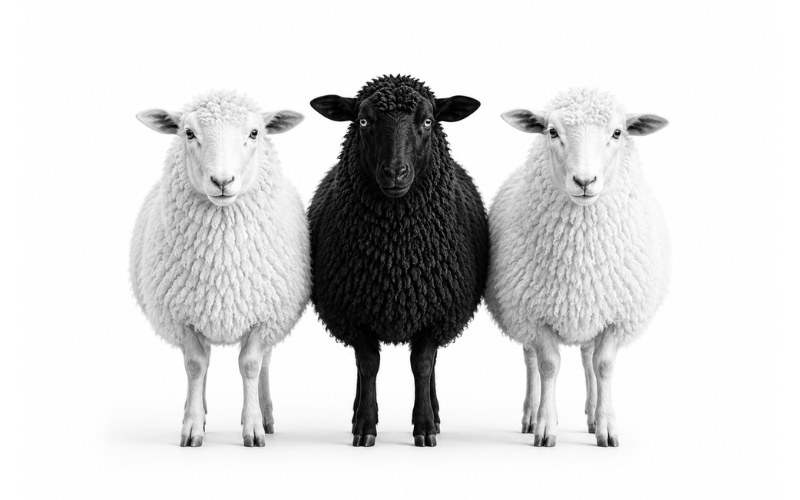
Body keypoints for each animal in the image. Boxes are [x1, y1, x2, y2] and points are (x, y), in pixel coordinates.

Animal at [130, 90, 310, 447]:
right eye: (188, 133)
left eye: (255, 133)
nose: (222, 180)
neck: (223, 263)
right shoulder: (183, 317)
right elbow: (195, 365)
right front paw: (192, 427)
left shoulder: (264, 315)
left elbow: (251, 365)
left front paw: (253, 428)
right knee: (206, 362)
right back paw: (198, 409)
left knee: (265, 362)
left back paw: (266, 416)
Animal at [308, 75, 488, 447]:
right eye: (363, 121)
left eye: (429, 121)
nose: (395, 172)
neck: (396, 256)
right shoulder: (355, 314)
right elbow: (368, 365)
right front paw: (364, 426)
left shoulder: (435, 312)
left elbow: (422, 364)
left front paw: (425, 427)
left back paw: (434, 411)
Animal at [485, 88, 670, 447]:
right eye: (551, 132)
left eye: (618, 133)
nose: (585, 181)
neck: (580, 259)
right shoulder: (534, 314)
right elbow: (548, 365)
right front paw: (545, 427)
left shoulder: (616, 316)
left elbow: (604, 365)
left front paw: (607, 427)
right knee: (531, 360)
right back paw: (532, 414)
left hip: (591, 313)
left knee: (587, 359)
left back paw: (592, 414)